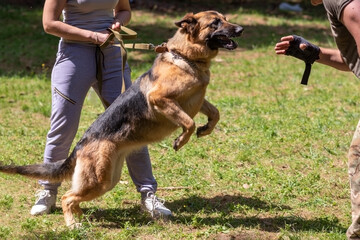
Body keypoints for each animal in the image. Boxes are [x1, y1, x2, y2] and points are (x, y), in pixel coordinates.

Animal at [0, 10, 243, 227]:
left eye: (226, 18)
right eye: (215, 23)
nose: (241, 29)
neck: (185, 56)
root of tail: (80, 145)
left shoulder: (197, 100)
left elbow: (215, 113)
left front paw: (206, 128)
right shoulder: (160, 98)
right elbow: (189, 123)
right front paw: (181, 140)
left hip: (109, 178)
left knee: (73, 197)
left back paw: (80, 218)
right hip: (99, 181)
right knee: (67, 197)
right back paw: (73, 225)